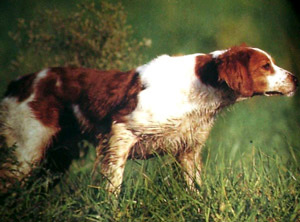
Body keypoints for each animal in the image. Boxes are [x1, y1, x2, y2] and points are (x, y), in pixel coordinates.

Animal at [0, 45, 298, 193]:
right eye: (266, 66)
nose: (295, 78)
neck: (201, 86)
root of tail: (18, 83)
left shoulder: (188, 152)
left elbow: (196, 190)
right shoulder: (120, 133)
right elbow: (113, 190)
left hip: (54, 161)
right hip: (26, 153)